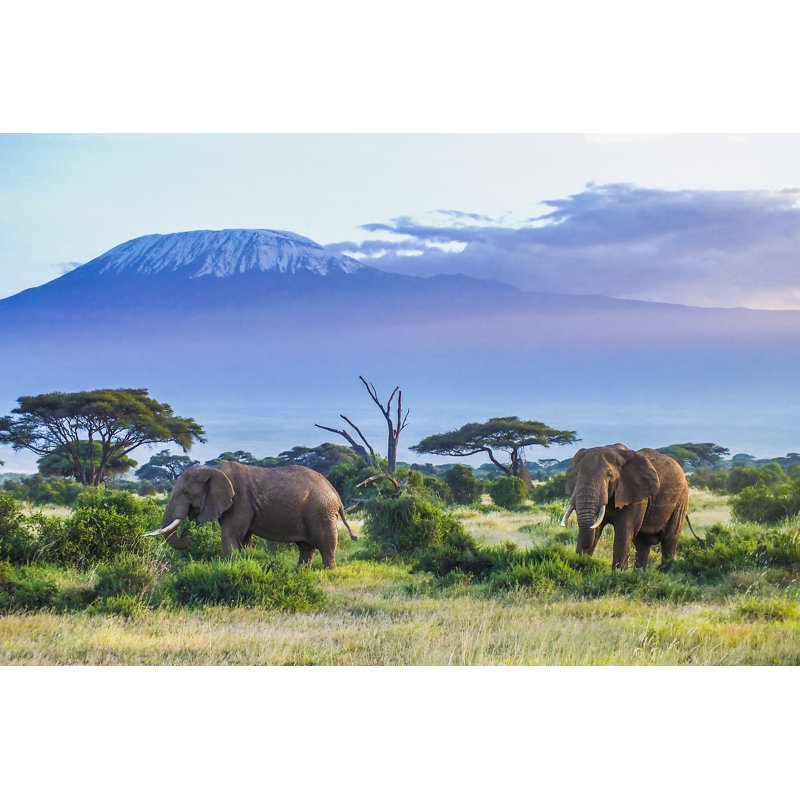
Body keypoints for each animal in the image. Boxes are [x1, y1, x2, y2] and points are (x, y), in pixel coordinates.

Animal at [145, 461, 356, 567]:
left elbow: (230, 535)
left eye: (186, 492)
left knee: (326, 544)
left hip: (321, 511)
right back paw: (301, 573)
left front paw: (230, 568)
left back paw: (328, 573)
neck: (213, 469)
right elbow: (244, 538)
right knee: (306, 547)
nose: (188, 533)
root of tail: (335, 491)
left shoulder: (240, 501)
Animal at [561, 444, 691, 569]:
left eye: (609, 475)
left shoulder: (635, 495)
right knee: (643, 543)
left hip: (682, 499)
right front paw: (580, 566)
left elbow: (624, 530)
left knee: (669, 539)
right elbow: (595, 528)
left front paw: (618, 574)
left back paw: (664, 571)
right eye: (576, 474)